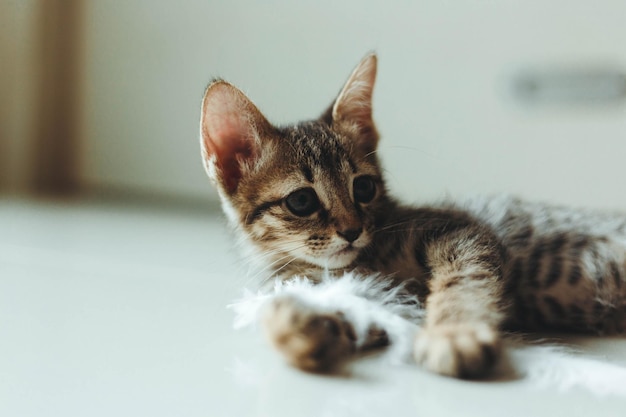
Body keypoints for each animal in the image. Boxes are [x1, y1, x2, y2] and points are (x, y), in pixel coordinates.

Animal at [199, 52, 624, 376]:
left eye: (364, 188)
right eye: (302, 202)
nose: (352, 230)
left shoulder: (464, 229)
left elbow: (464, 279)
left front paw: (455, 333)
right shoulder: (385, 299)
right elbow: (352, 311)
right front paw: (298, 327)